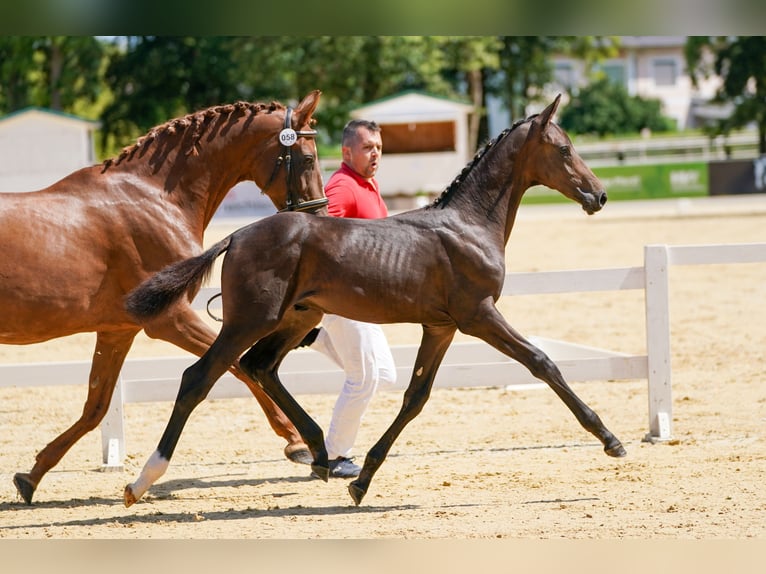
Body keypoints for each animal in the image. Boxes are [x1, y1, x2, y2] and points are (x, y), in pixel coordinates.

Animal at [3, 89, 328, 504]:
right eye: (308, 158)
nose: (319, 217)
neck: (156, 198)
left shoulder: (118, 330)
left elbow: (96, 407)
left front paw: (32, 475)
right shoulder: (170, 319)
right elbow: (234, 367)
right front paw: (297, 443)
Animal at [123, 94, 628, 508]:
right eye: (563, 149)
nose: (599, 195)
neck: (468, 225)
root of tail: (237, 234)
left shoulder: (441, 326)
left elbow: (415, 397)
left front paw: (362, 481)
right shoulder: (479, 314)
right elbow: (543, 362)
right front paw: (610, 439)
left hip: (296, 318)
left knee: (259, 367)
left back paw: (320, 452)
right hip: (249, 320)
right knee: (199, 378)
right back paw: (141, 481)